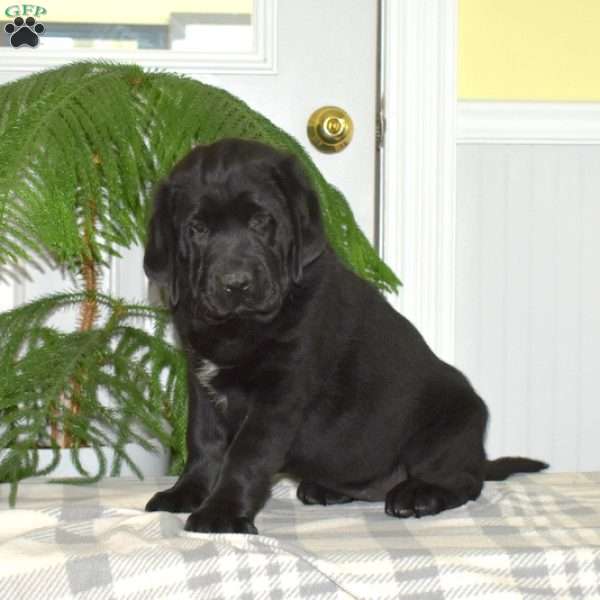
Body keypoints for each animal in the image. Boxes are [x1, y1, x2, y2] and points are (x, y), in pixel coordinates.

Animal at [145, 138, 548, 532]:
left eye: (261, 220)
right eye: (197, 229)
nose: (236, 284)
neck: (239, 328)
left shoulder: (279, 393)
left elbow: (245, 455)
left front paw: (222, 514)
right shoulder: (201, 382)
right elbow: (203, 443)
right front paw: (187, 492)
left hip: (449, 423)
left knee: (465, 481)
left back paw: (419, 494)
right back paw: (328, 489)